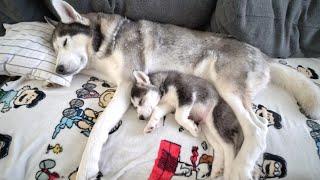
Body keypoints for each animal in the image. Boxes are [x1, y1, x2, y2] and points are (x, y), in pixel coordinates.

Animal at [47, 0, 320, 179]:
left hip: (227, 87)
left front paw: (86, 166)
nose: (58, 69)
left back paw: (241, 169)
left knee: (258, 129)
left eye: (65, 42)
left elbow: (99, 127)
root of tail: (265, 56)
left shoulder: (126, 85)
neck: (105, 41)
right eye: (55, 49)